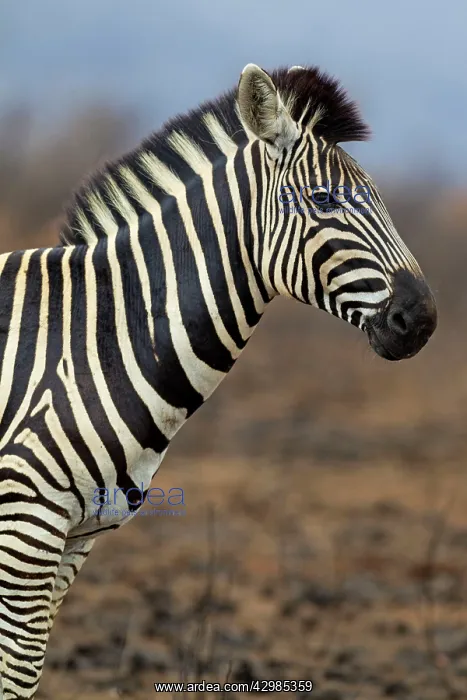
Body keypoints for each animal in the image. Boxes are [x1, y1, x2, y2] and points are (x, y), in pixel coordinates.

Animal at [0, 63, 436, 698]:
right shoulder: (25, 522)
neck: (97, 340)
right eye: (323, 200)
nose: (421, 320)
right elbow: (17, 669)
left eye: (380, 197)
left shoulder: (74, 538)